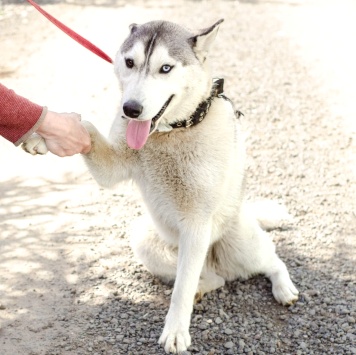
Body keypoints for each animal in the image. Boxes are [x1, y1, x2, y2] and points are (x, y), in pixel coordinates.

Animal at [22, 18, 298, 354]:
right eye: (130, 63)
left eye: (165, 68)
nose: (130, 109)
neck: (172, 132)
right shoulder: (111, 167)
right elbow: (85, 129)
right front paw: (42, 134)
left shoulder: (196, 222)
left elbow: (182, 289)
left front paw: (176, 332)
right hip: (145, 238)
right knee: (209, 279)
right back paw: (203, 288)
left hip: (241, 245)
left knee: (271, 260)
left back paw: (284, 288)